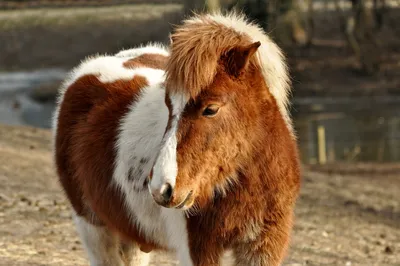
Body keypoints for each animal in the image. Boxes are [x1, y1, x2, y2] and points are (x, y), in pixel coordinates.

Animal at [53, 12, 300, 266]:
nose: (161, 189)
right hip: (93, 228)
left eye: (210, 109)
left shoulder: (263, 245)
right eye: (168, 104)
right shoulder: (197, 248)